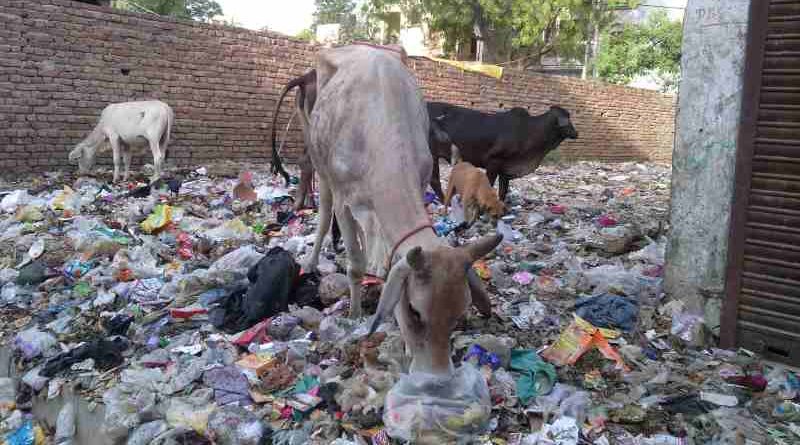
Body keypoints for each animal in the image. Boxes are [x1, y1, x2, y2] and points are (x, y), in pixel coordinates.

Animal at [302, 45, 500, 372]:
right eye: (415, 310)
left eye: (458, 316)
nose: (434, 372)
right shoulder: (345, 200)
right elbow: (354, 264)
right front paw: (354, 314)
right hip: (321, 169)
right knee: (324, 214)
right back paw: (310, 261)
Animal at [428, 101, 580, 200]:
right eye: (567, 119)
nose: (576, 133)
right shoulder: (494, 161)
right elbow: (489, 185)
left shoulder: (505, 169)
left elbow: (503, 191)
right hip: (432, 155)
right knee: (434, 180)